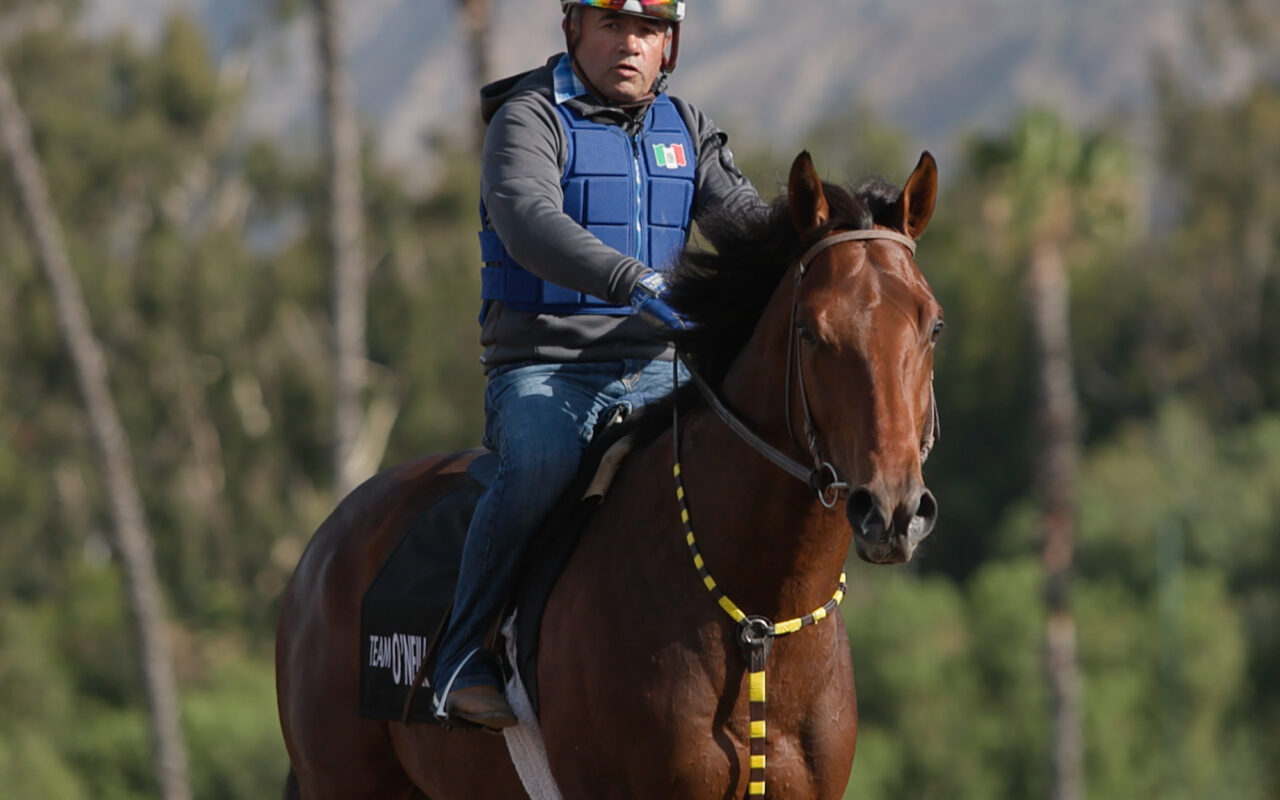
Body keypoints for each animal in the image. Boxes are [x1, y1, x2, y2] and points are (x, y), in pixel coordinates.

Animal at [276, 149, 942, 800]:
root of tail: (324, 547)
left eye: (932, 324)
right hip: (343, 780)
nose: (892, 511)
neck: (757, 622)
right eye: (810, 330)